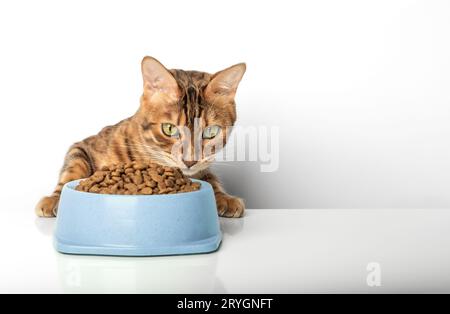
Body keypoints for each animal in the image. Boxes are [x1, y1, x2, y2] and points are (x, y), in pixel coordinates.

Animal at [35, 56, 246, 218]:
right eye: (169, 129)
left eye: (211, 132)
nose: (189, 161)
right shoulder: (82, 146)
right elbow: (72, 170)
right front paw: (54, 199)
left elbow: (210, 178)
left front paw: (224, 198)